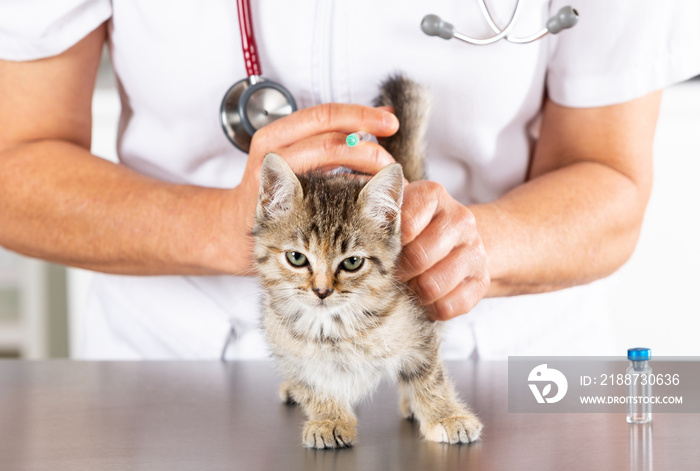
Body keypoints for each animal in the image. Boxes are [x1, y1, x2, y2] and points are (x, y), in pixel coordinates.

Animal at [252, 75, 482, 448]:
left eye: (352, 263)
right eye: (297, 258)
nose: (322, 291)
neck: (335, 327)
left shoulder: (420, 330)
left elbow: (430, 376)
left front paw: (445, 416)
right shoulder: (289, 349)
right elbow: (313, 384)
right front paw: (329, 419)